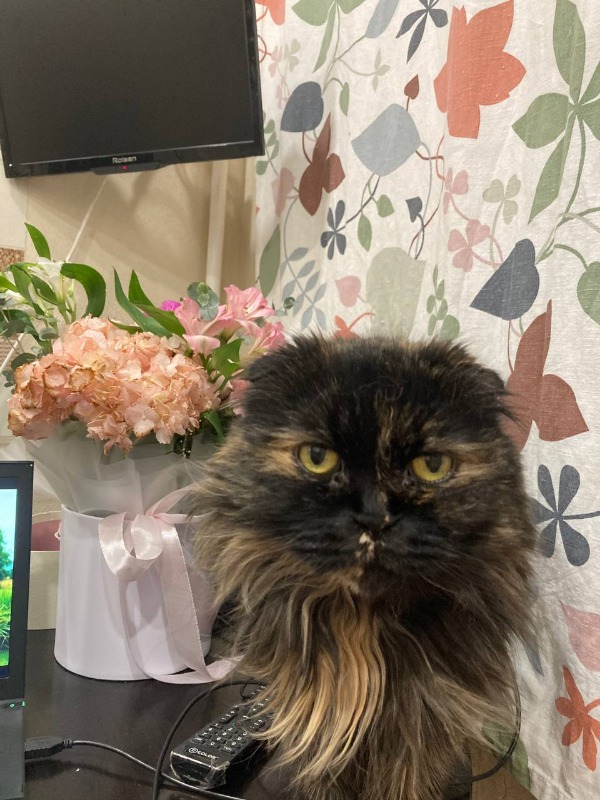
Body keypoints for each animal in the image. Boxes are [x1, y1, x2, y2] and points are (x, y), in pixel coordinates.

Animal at [193, 335, 535, 800]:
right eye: (317, 457)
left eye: (432, 466)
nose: (374, 517)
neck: (361, 627)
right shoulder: (320, 728)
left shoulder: (417, 735)